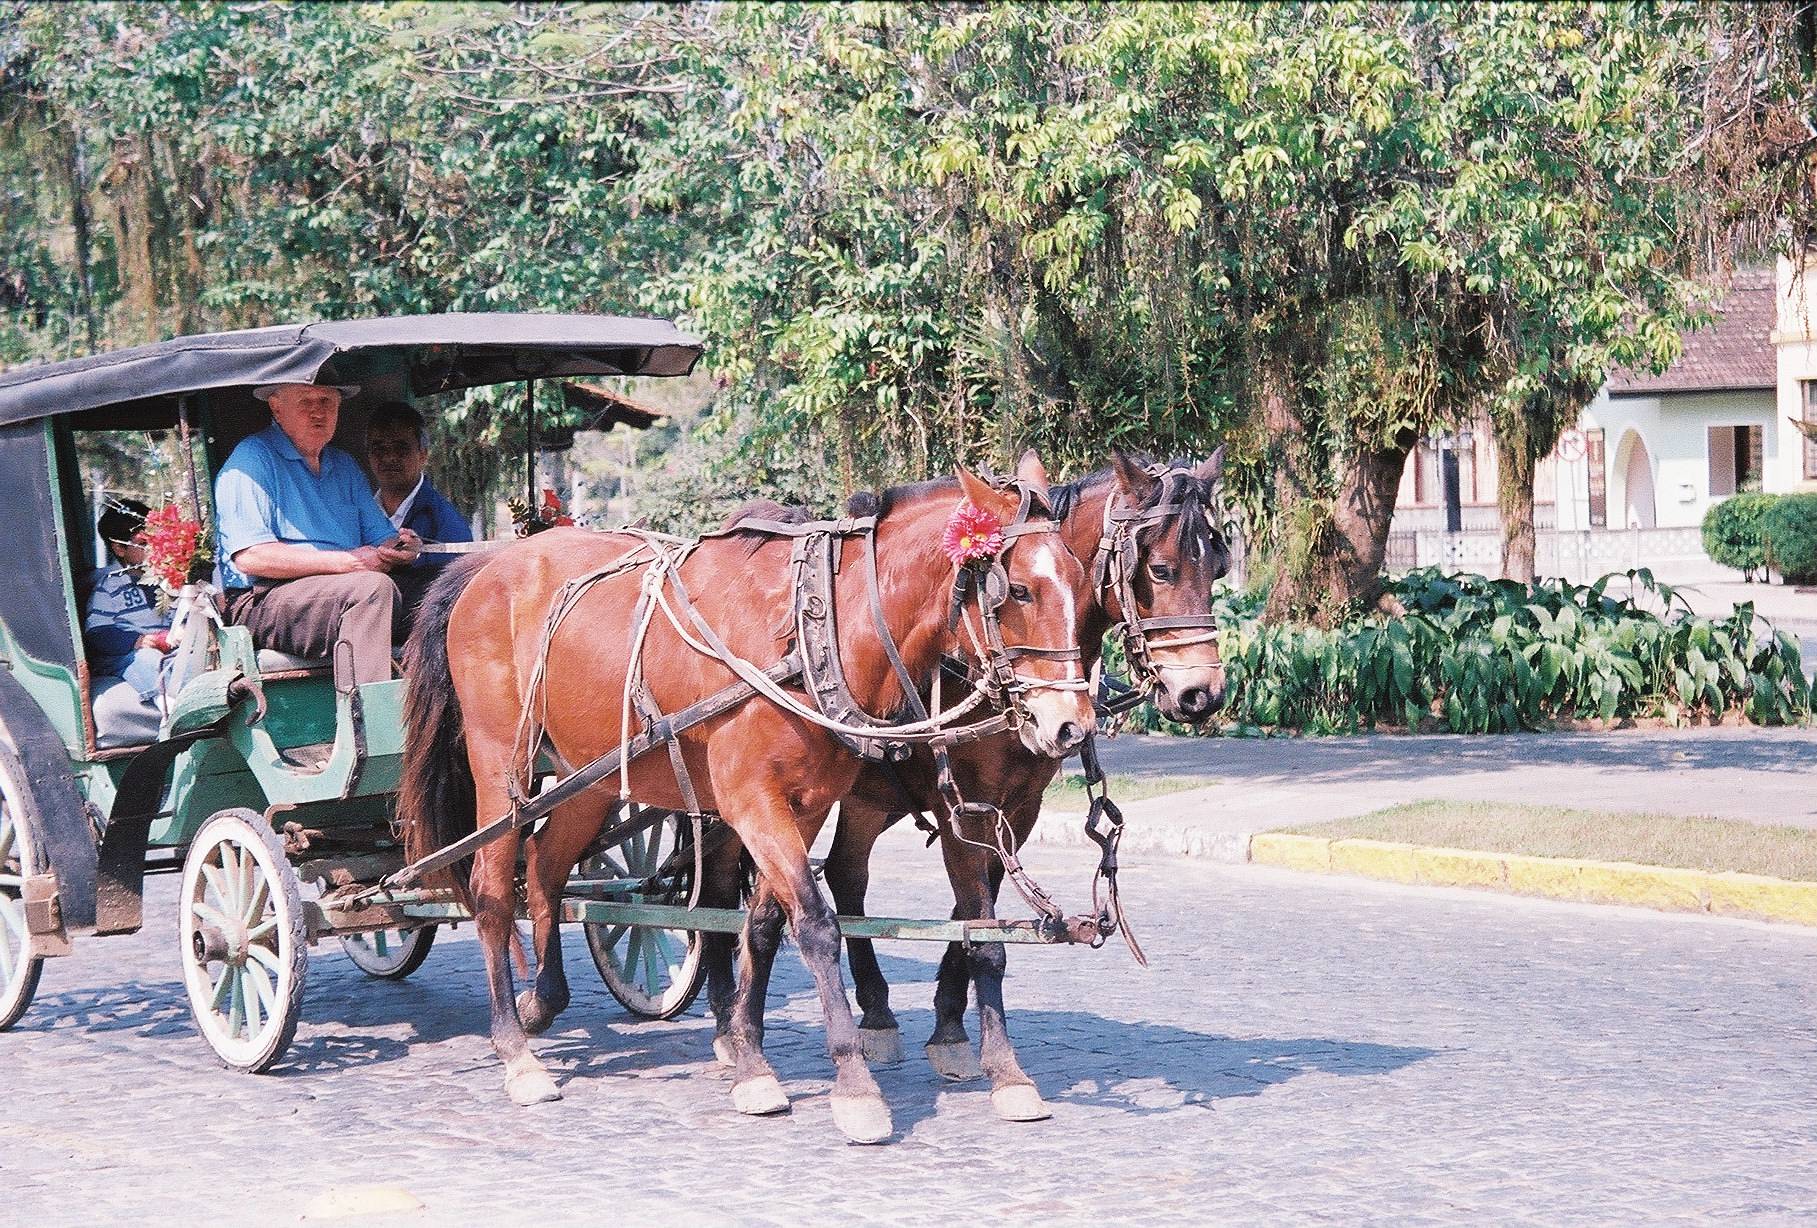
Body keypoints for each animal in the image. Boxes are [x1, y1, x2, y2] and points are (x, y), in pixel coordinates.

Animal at [396, 454, 1090, 1140]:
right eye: (1018, 591)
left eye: (1080, 583)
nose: (1072, 725)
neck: (819, 628)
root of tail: (487, 567)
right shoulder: (753, 802)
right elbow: (816, 925)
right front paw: (854, 1085)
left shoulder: (806, 806)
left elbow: (762, 926)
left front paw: (750, 1057)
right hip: (500, 761)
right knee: (491, 885)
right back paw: (516, 1050)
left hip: (588, 775)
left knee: (544, 864)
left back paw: (542, 1001)